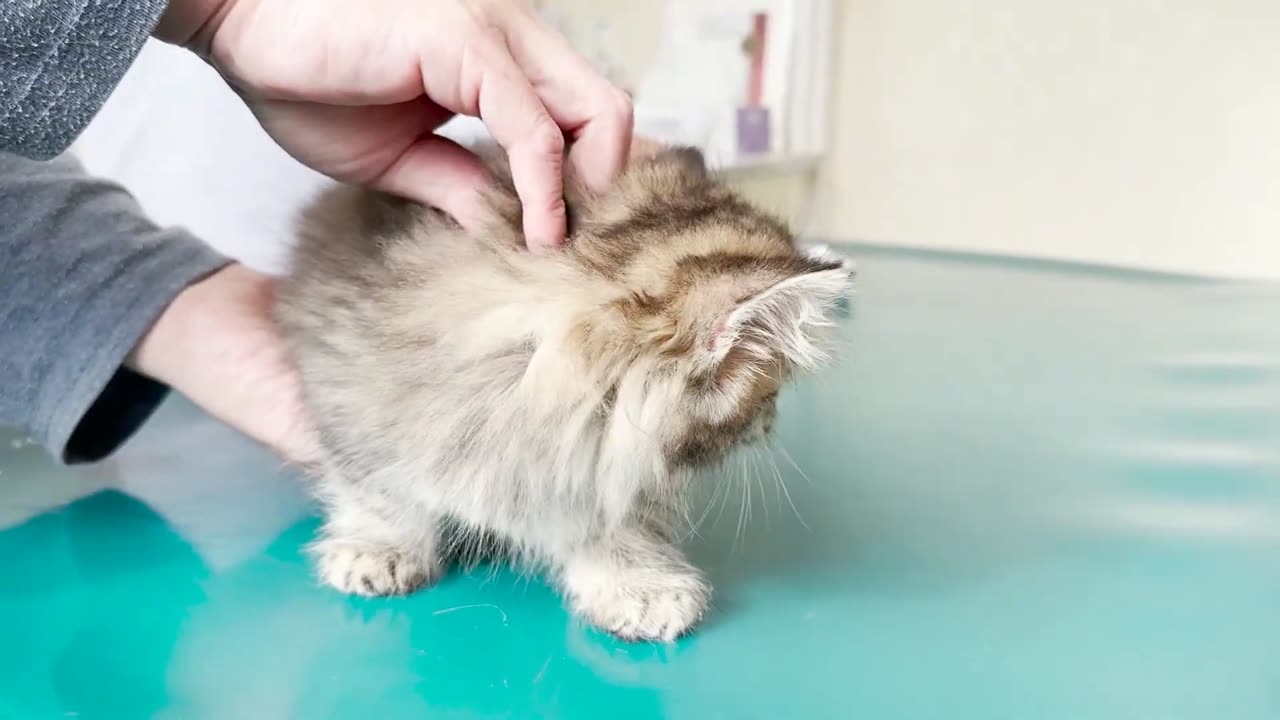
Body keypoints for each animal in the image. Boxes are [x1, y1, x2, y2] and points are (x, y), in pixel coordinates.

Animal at [276, 146, 855, 638]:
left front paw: (635, 581)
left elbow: (614, 516)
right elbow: (377, 488)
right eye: (768, 394)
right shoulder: (350, 394)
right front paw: (377, 547)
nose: (771, 423)